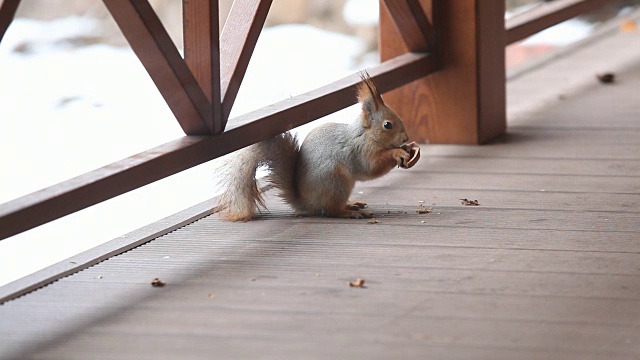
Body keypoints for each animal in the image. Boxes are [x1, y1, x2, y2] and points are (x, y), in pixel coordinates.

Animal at [215, 72, 416, 221]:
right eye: (387, 125)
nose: (406, 137)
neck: (365, 135)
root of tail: (306, 203)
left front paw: (407, 148)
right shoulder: (360, 151)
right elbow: (371, 167)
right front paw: (397, 153)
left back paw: (352, 204)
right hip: (336, 181)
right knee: (331, 210)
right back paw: (350, 212)